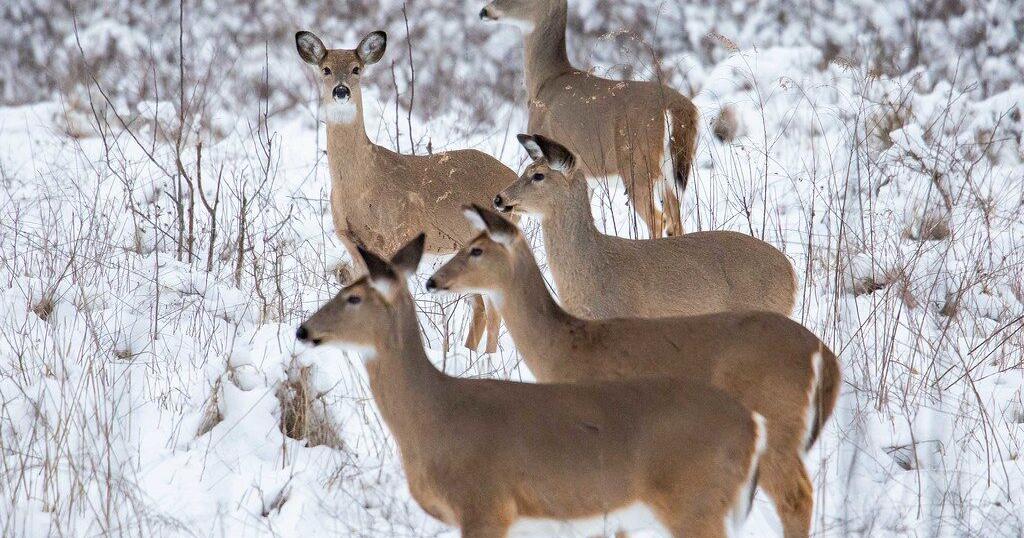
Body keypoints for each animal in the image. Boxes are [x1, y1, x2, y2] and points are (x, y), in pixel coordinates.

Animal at [294, 29, 515, 352]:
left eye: (356, 69)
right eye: (325, 69)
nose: (341, 91)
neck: (362, 187)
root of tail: (513, 175)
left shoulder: (396, 235)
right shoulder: (352, 245)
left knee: (493, 306)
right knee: (481, 308)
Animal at [296, 234, 766, 538]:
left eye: (353, 297)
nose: (304, 330)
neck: (436, 415)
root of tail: (751, 428)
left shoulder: (485, 505)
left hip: (694, 502)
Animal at [427, 206, 842, 538]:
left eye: (476, 249)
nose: (433, 279)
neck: (563, 344)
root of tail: (823, 354)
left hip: (777, 420)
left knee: (796, 497)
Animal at [479, 0, 698, 238]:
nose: (484, 11)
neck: (545, 82)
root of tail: (678, 108)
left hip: (638, 165)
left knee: (658, 220)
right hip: (672, 173)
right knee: (675, 222)